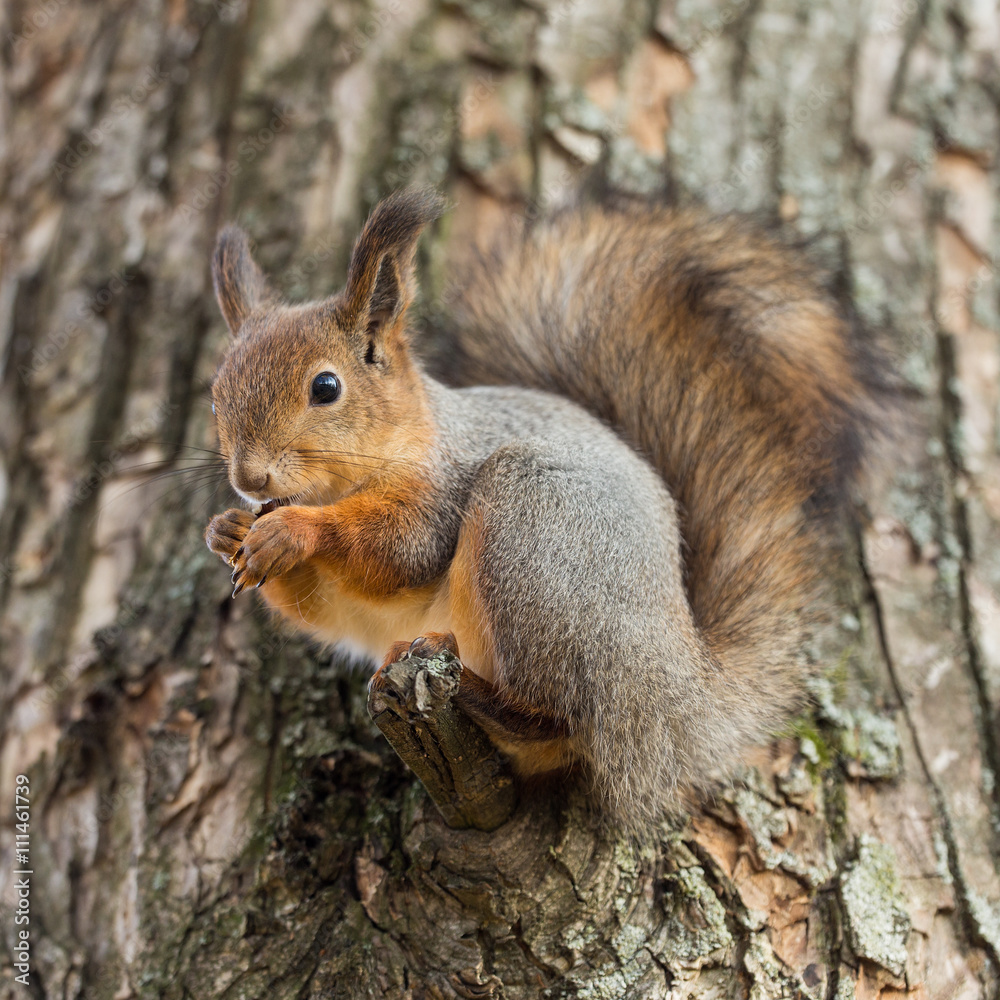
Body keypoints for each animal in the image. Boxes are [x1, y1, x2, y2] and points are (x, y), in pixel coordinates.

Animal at [204, 188, 885, 833]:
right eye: (215, 395)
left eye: (326, 387)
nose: (248, 478)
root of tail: (679, 691)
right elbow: (322, 608)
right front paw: (229, 530)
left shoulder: (440, 488)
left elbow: (402, 549)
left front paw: (292, 530)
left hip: (532, 534)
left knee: (565, 717)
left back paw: (479, 694)